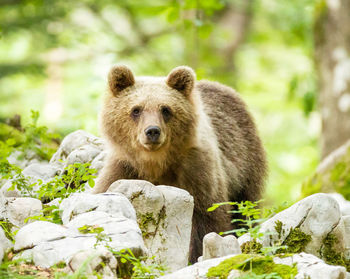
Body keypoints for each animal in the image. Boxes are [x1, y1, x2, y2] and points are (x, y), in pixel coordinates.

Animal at [91, 65, 266, 262]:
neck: (155, 163)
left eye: (165, 109)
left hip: (245, 164)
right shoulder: (124, 168)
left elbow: (208, 219)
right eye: (136, 109)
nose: (152, 131)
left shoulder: (196, 172)